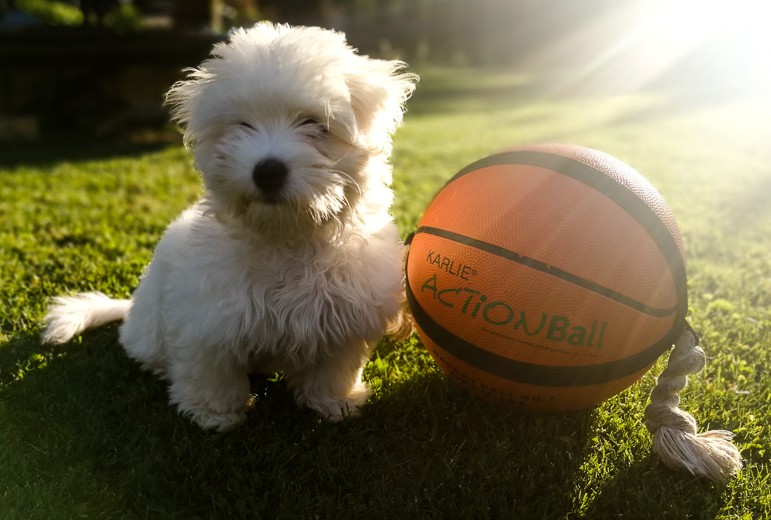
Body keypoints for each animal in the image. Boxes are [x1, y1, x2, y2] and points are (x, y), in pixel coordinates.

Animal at [42, 21, 416, 430]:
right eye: (242, 125)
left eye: (315, 124)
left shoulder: (346, 317)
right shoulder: (208, 321)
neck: (288, 238)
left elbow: (333, 369)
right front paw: (215, 414)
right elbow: (212, 370)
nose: (267, 170)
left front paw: (335, 404)